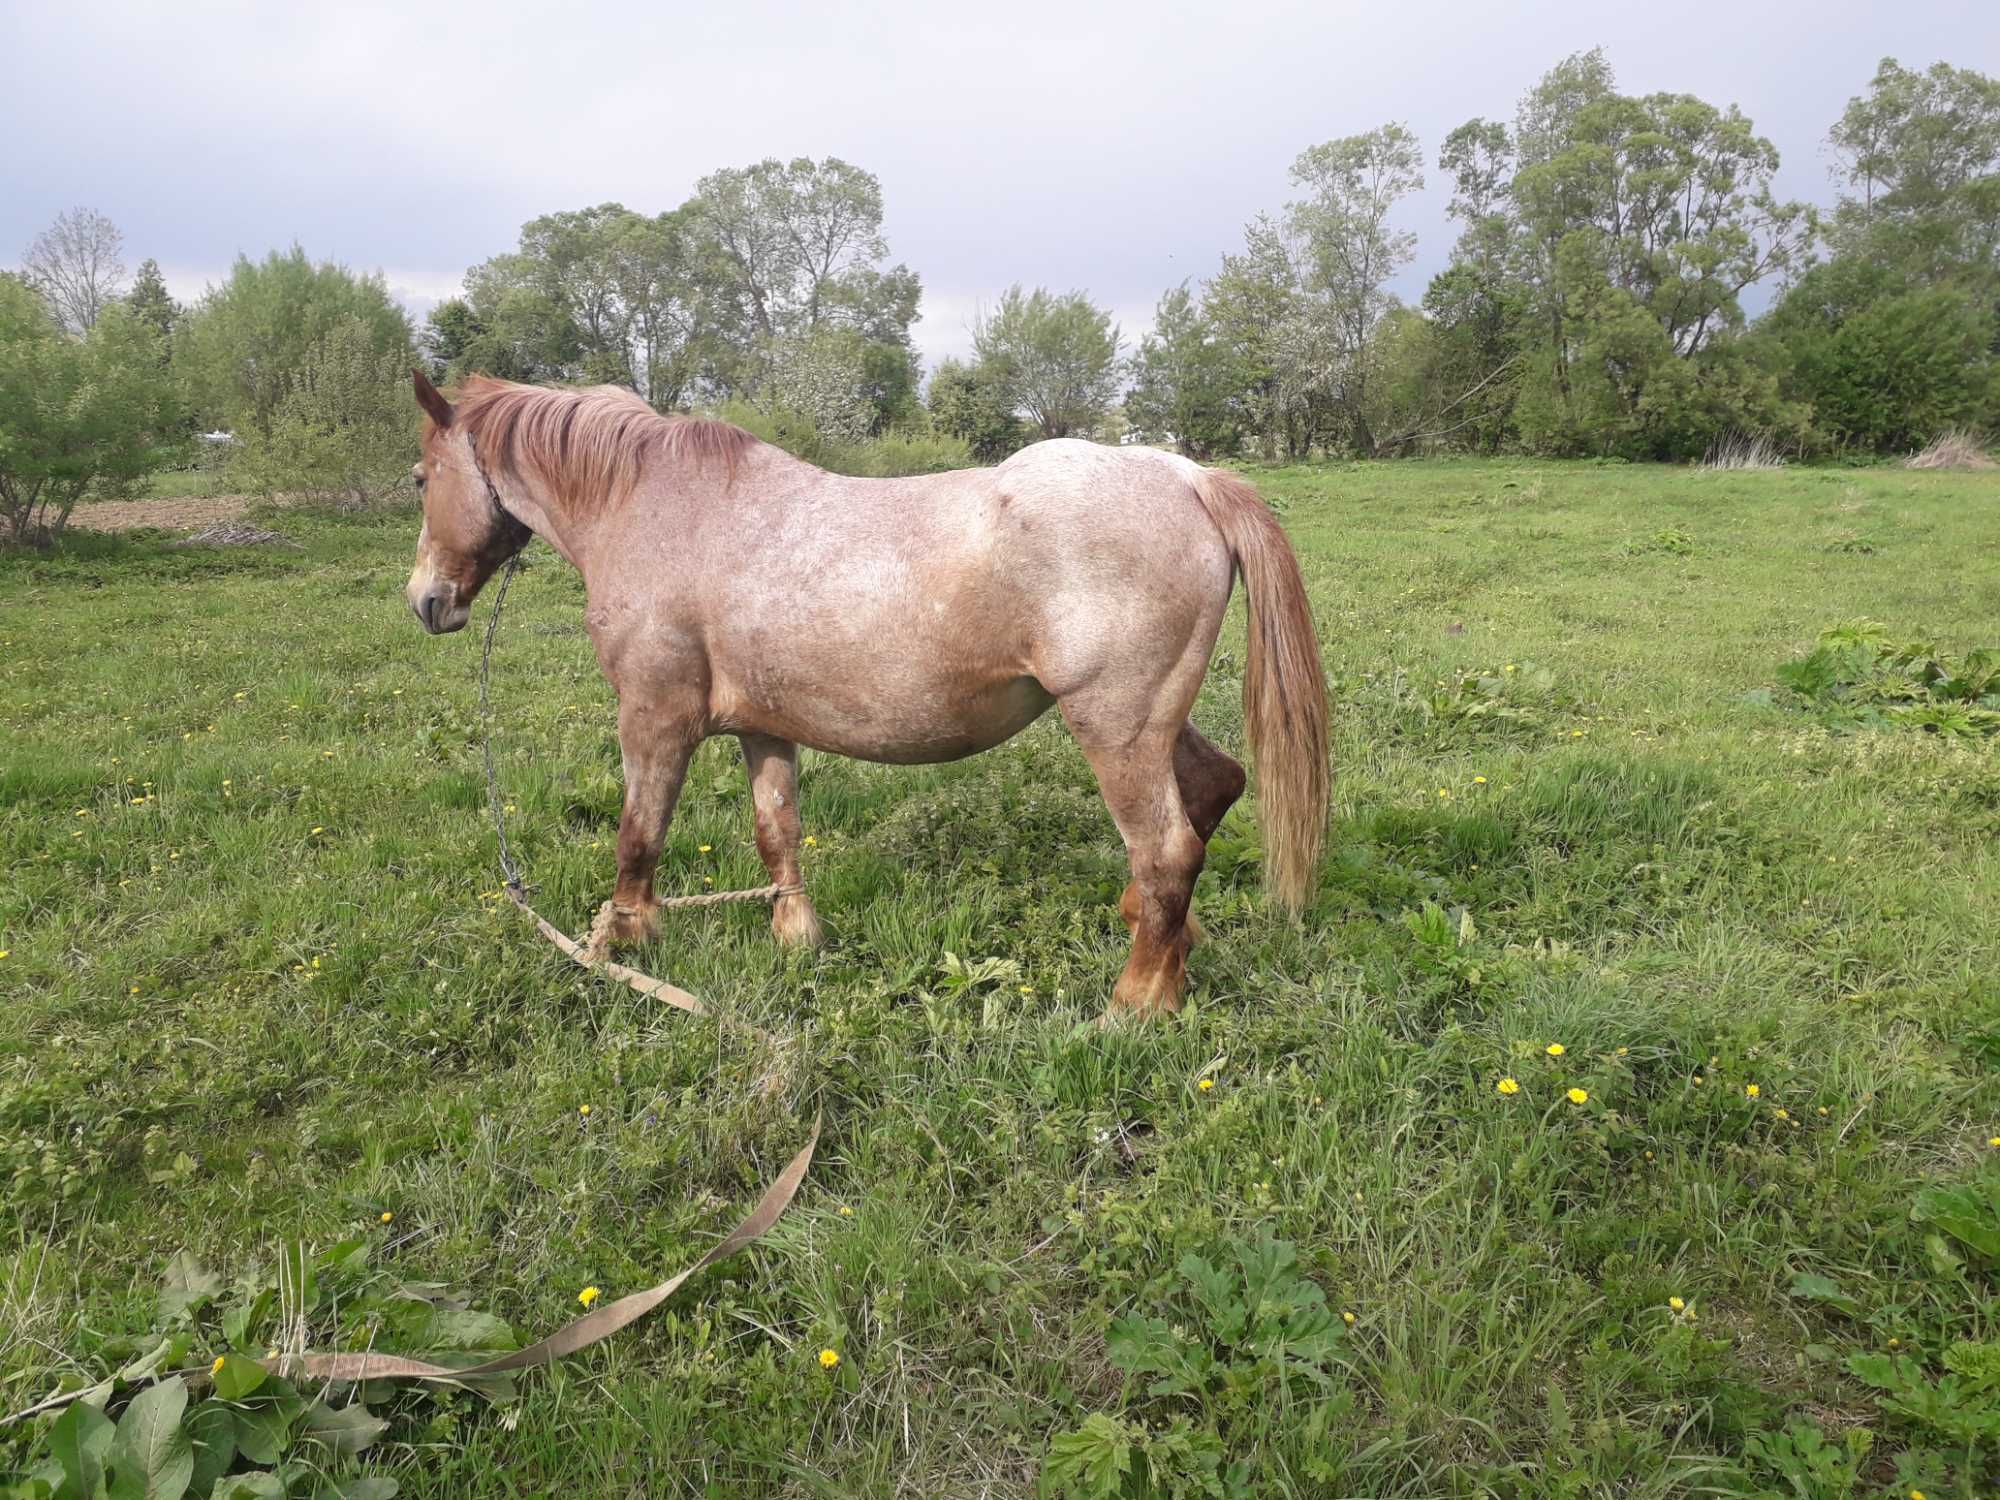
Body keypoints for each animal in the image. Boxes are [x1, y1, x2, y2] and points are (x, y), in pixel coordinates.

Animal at [404, 374, 1328, 1024]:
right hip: (1151, 721)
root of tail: (1189, 478)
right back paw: (1163, 942)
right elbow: (776, 833)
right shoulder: (762, 729)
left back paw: (1136, 1002)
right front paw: (796, 938)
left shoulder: (655, 717)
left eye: (419, 477)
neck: (657, 507)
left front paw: (624, 940)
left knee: (1167, 848)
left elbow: (640, 835)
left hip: (1115, 726)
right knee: (1212, 790)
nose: (426, 602)